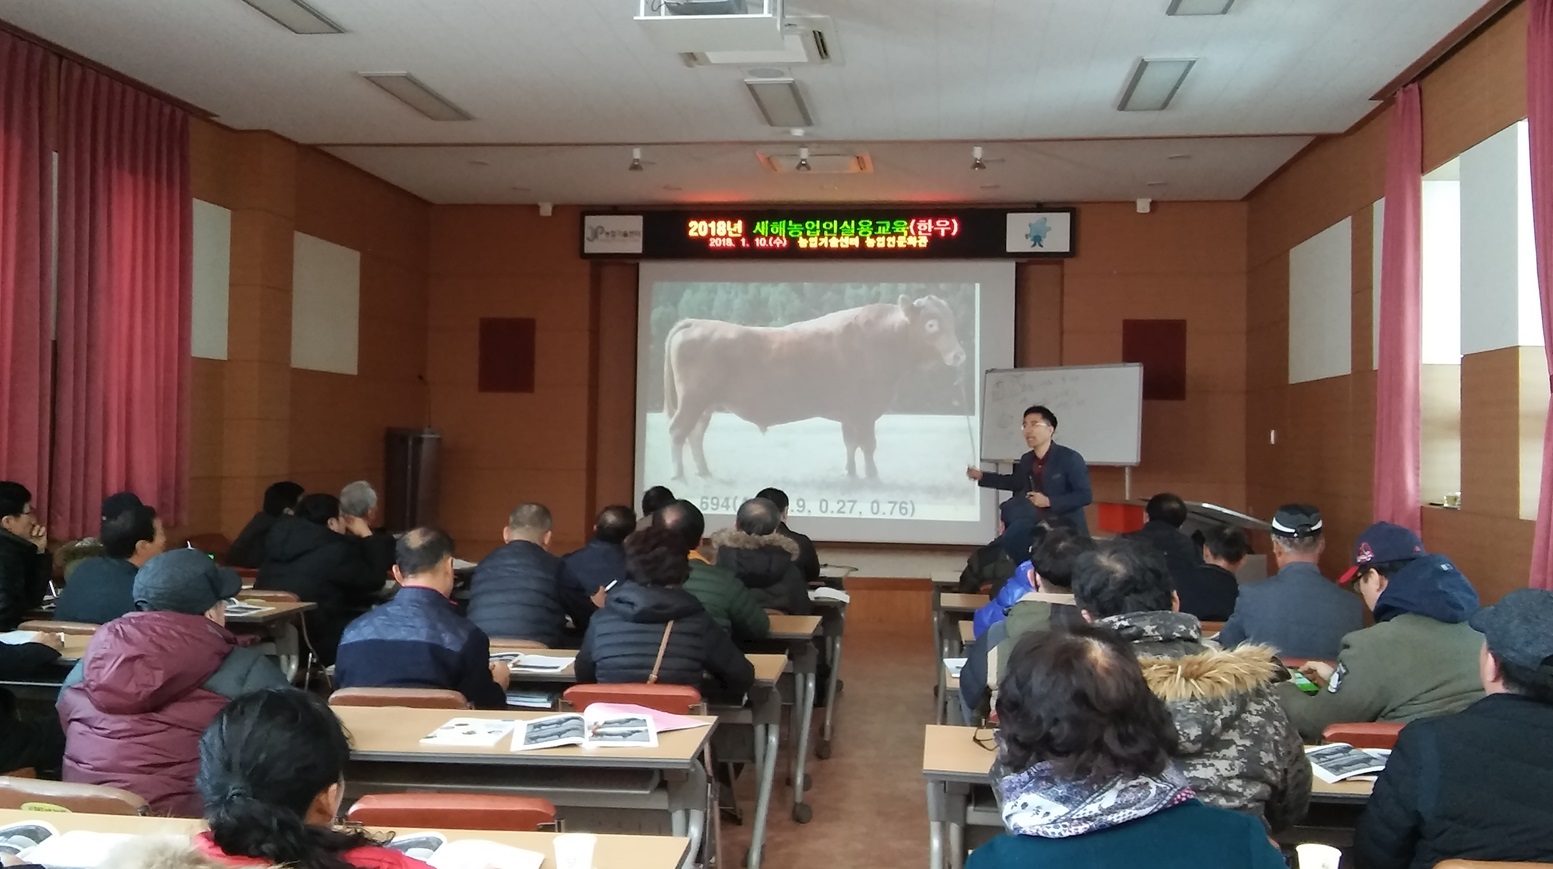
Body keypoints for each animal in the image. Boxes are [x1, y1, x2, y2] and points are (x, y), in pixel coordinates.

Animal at [661, 294, 962, 477]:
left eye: (951, 321)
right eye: (932, 324)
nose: (959, 355)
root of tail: (696, 322)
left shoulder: (850, 414)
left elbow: (851, 443)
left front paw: (850, 473)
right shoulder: (864, 412)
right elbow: (867, 444)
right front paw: (872, 476)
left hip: (704, 406)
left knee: (694, 435)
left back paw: (704, 472)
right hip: (693, 400)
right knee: (678, 431)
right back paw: (678, 475)